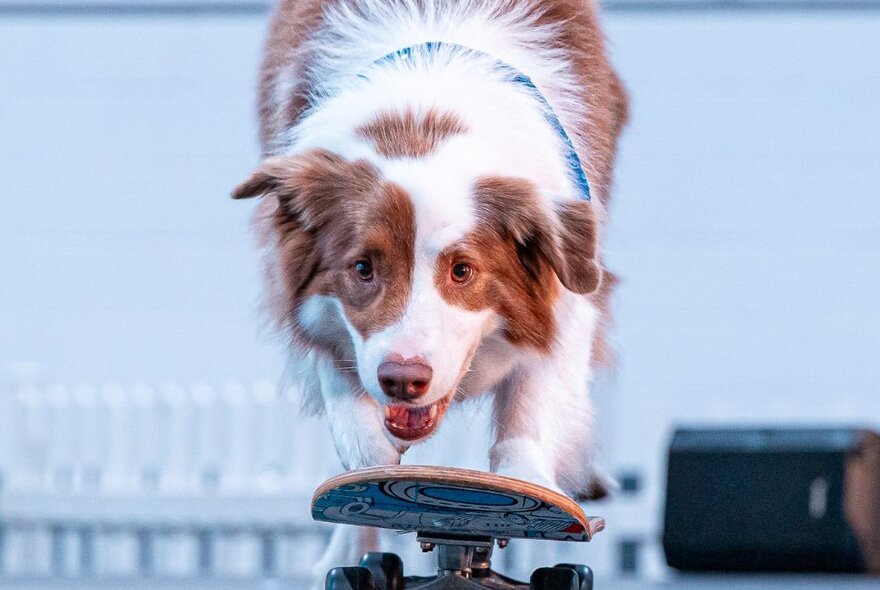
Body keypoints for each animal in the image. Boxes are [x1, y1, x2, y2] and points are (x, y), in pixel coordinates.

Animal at [232, 0, 624, 576]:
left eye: (462, 270)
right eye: (363, 268)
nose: (403, 381)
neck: (425, 116)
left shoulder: (571, 284)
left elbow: (532, 406)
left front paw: (530, 489)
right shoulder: (305, 303)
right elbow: (355, 428)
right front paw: (370, 480)